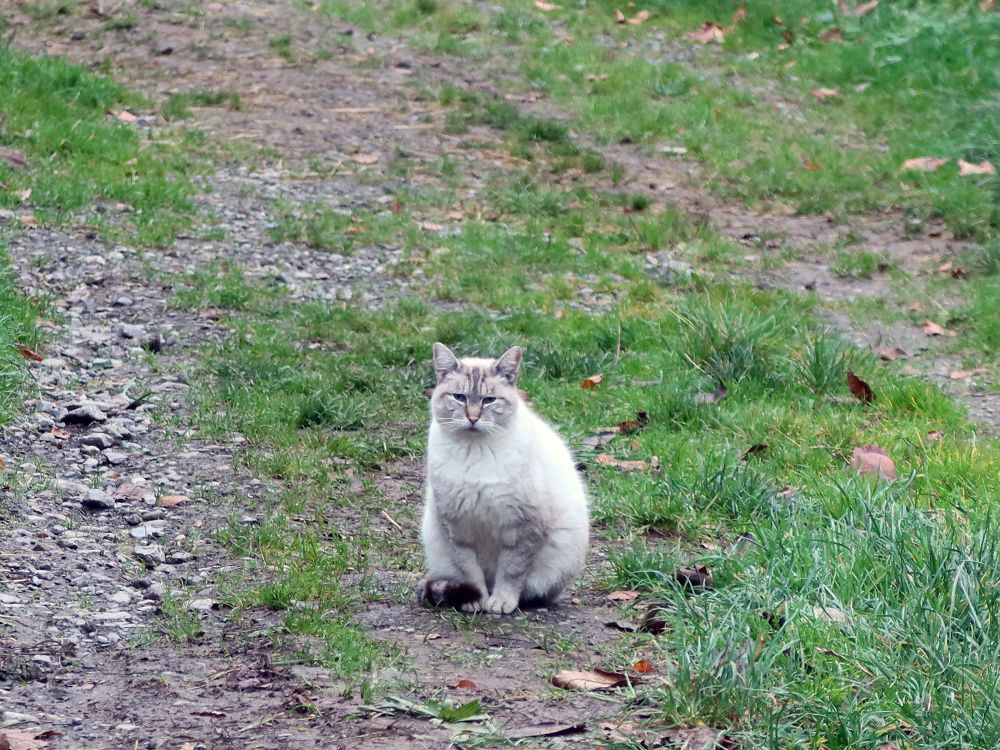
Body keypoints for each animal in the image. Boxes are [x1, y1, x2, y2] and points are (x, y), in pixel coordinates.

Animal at [418, 346, 588, 616]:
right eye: (459, 397)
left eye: (489, 400)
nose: (473, 418)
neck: (474, 453)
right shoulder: (457, 528)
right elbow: (470, 572)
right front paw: (476, 601)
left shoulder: (522, 527)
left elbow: (511, 571)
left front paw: (500, 602)